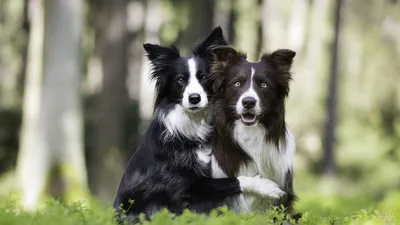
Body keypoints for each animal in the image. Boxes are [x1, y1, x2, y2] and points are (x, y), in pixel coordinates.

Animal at [111, 27, 282, 222]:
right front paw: (267, 186)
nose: (194, 98)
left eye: (205, 76)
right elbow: (233, 180)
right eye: (180, 79)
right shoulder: (182, 191)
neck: (192, 126)